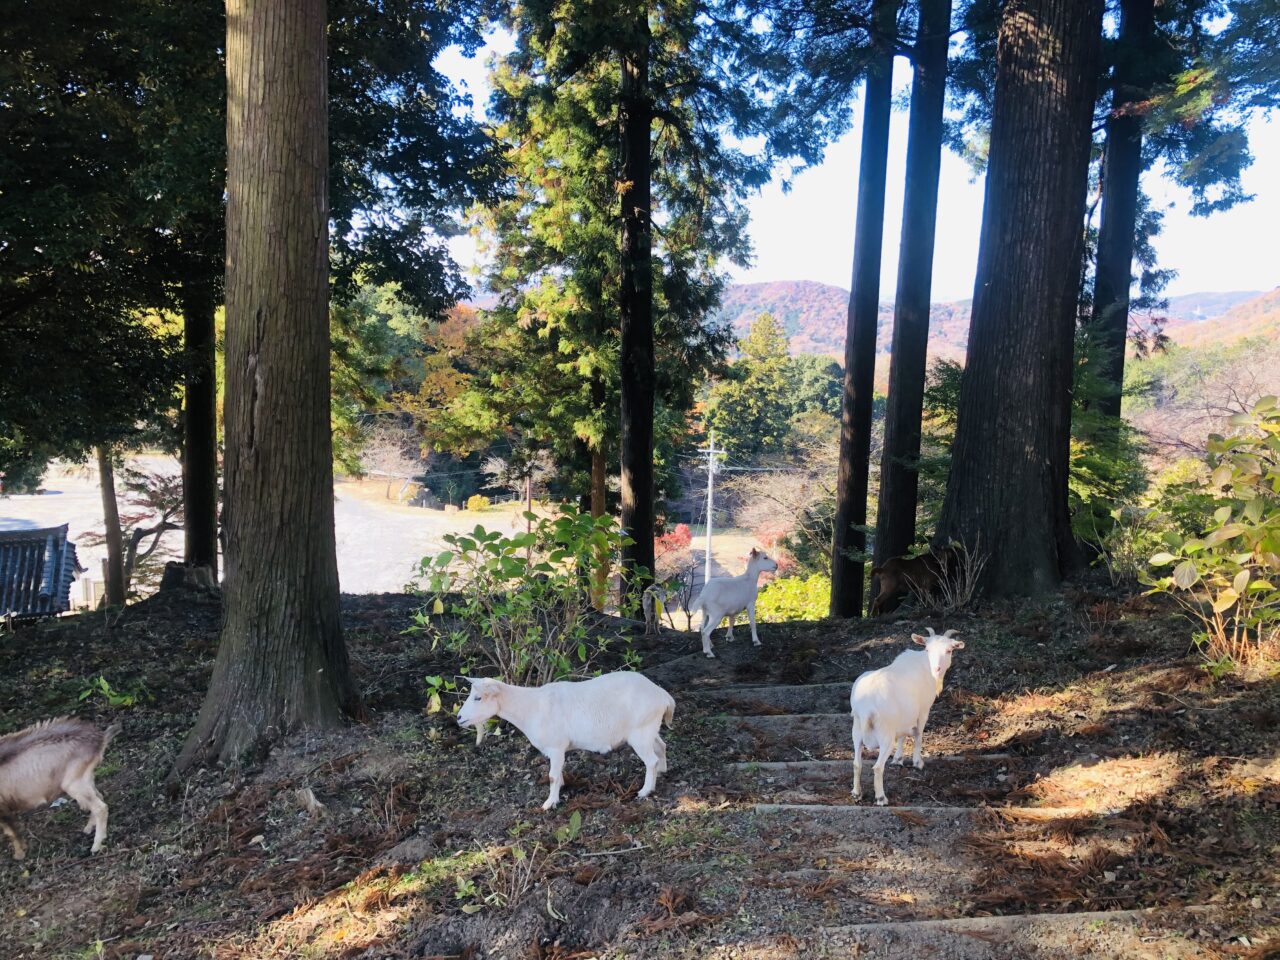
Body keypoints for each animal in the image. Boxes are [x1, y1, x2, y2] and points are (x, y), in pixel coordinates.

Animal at [0, 716, 120, 860]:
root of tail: (100, 738)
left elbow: (11, 832)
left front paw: (19, 854)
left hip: (74, 784)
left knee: (100, 807)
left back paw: (96, 846)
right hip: (86, 779)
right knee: (99, 797)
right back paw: (88, 828)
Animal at [460, 675, 680, 814]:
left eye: (478, 697)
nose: (459, 717)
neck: (531, 706)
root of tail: (663, 696)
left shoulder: (556, 747)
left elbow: (552, 776)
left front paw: (550, 803)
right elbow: (557, 774)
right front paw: (561, 788)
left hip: (640, 732)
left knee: (650, 760)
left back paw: (645, 791)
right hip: (649, 729)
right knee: (661, 746)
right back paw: (662, 771)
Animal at [849, 627, 962, 808]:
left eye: (949, 650)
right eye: (927, 649)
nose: (937, 669)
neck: (923, 664)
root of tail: (866, 706)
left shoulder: (903, 716)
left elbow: (902, 736)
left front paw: (898, 759)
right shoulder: (923, 710)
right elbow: (918, 734)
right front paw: (917, 763)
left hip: (857, 730)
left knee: (856, 763)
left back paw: (856, 793)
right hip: (885, 734)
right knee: (877, 767)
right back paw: (881, 798)